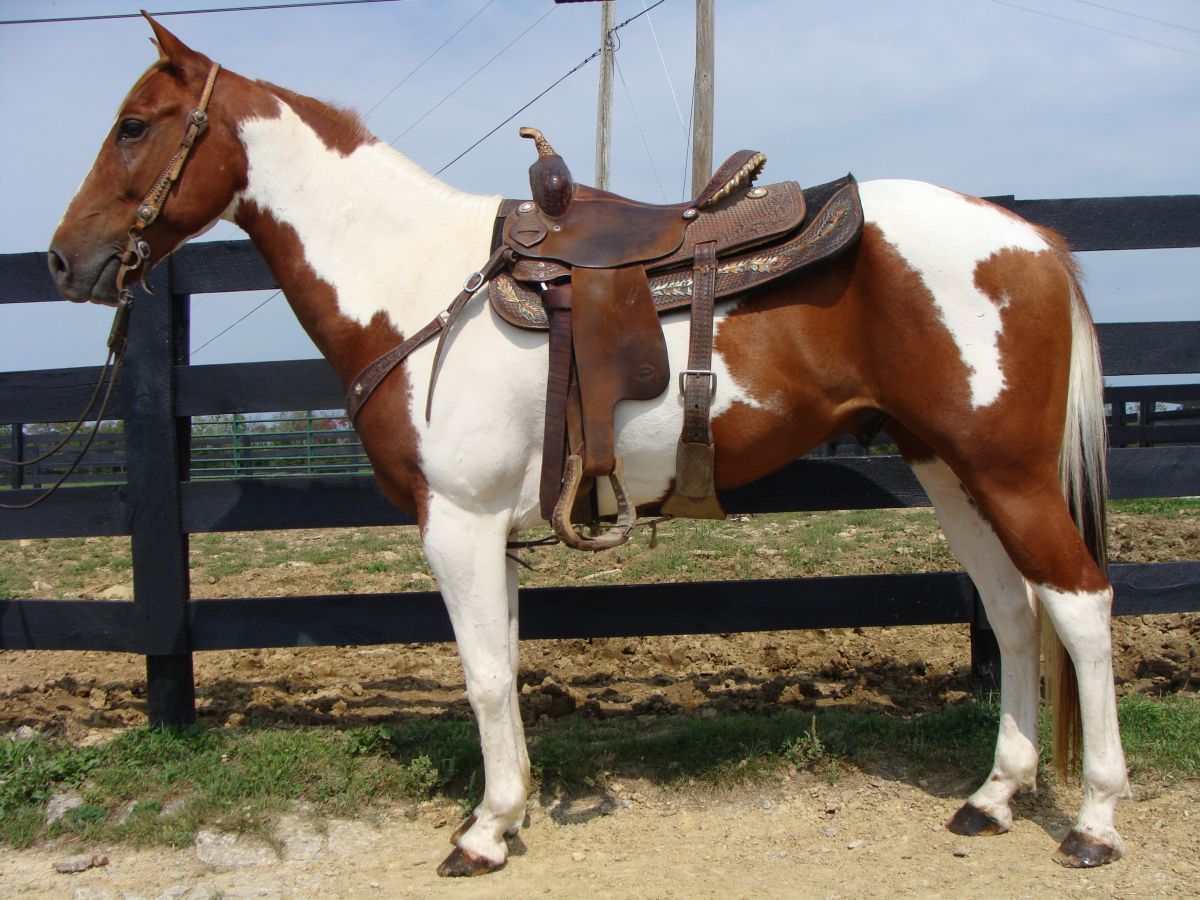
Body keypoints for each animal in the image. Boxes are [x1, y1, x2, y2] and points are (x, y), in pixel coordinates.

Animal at [49, 15, 1132, 883]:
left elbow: (483, 675)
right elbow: (505, 664)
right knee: (1013, 611)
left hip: (1006, 474)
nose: (64, 260)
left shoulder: (457, 525)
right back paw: (993, 799)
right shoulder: (490, 532)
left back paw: (1094, 822)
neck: (415, 280)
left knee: (1078, 605)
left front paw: (482, 835)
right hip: (948, 467)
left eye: (135, 124)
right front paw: (509, 811)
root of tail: (1032, 240)